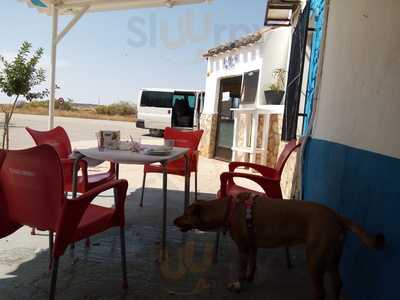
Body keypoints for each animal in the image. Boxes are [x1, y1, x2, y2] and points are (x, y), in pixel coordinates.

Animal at [173, 195, 384, 300]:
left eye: (185, 214)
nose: (174, 221)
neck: (230, 209)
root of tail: (337, 217)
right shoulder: (253, 245)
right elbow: (253, 264)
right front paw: (250, 278)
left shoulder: (243, 247)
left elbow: (241, 269)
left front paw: (238, 285)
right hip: (333, 256)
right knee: (337, 283)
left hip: (315, 258)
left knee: (320, 292)